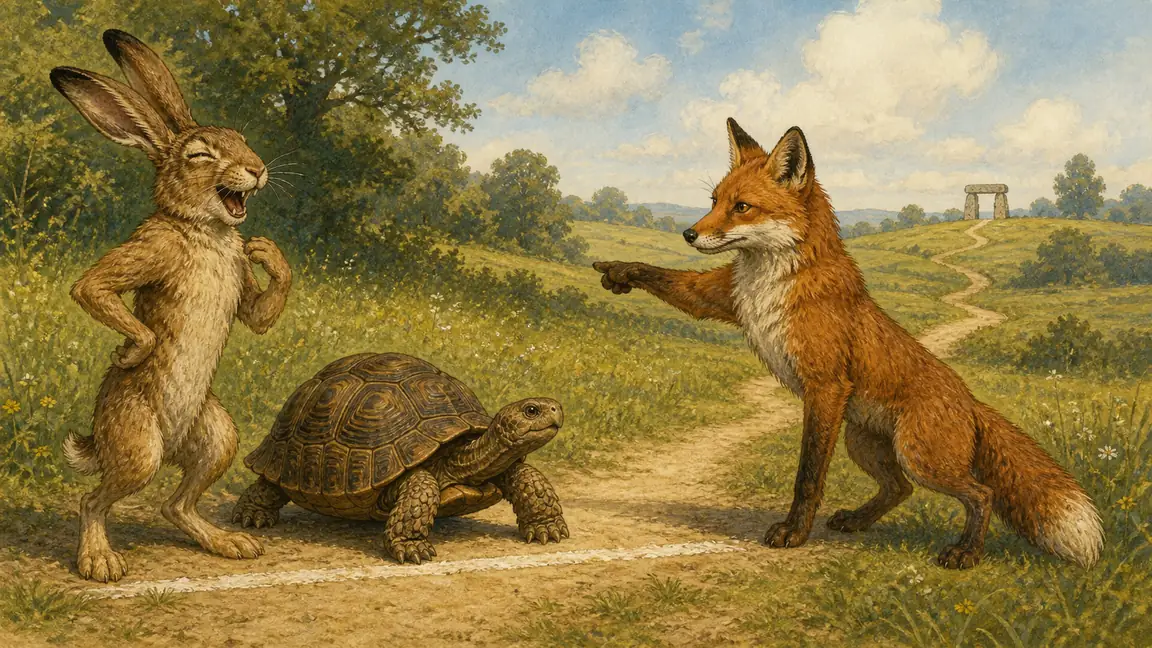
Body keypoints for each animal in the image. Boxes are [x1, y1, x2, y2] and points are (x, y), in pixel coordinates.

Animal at [50, 29, 292, 582]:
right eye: (200, 155)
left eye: (241, 139)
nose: (257, 169)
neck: (202, 228)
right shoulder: (150, 248)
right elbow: (91, 287)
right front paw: (130, 354)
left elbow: (259, 315)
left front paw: (267, 251)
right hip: (139, 447)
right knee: (93, 501)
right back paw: (99, 562)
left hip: (218, 434)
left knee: (176, 503)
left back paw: (229, 544)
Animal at [594, 119, 1104, 569]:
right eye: (714, 201)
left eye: (742, 207)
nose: (689, 233)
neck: (767, 280)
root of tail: (972, 402)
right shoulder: (721, 297)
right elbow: (666, 279)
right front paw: (619, 271)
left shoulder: (825, 386)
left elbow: (807, 475)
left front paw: (794, 533)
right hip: (864, 444)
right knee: (901, 489)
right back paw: (858, 521)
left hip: (920, 455)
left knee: (983, 493)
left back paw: (964, 554)